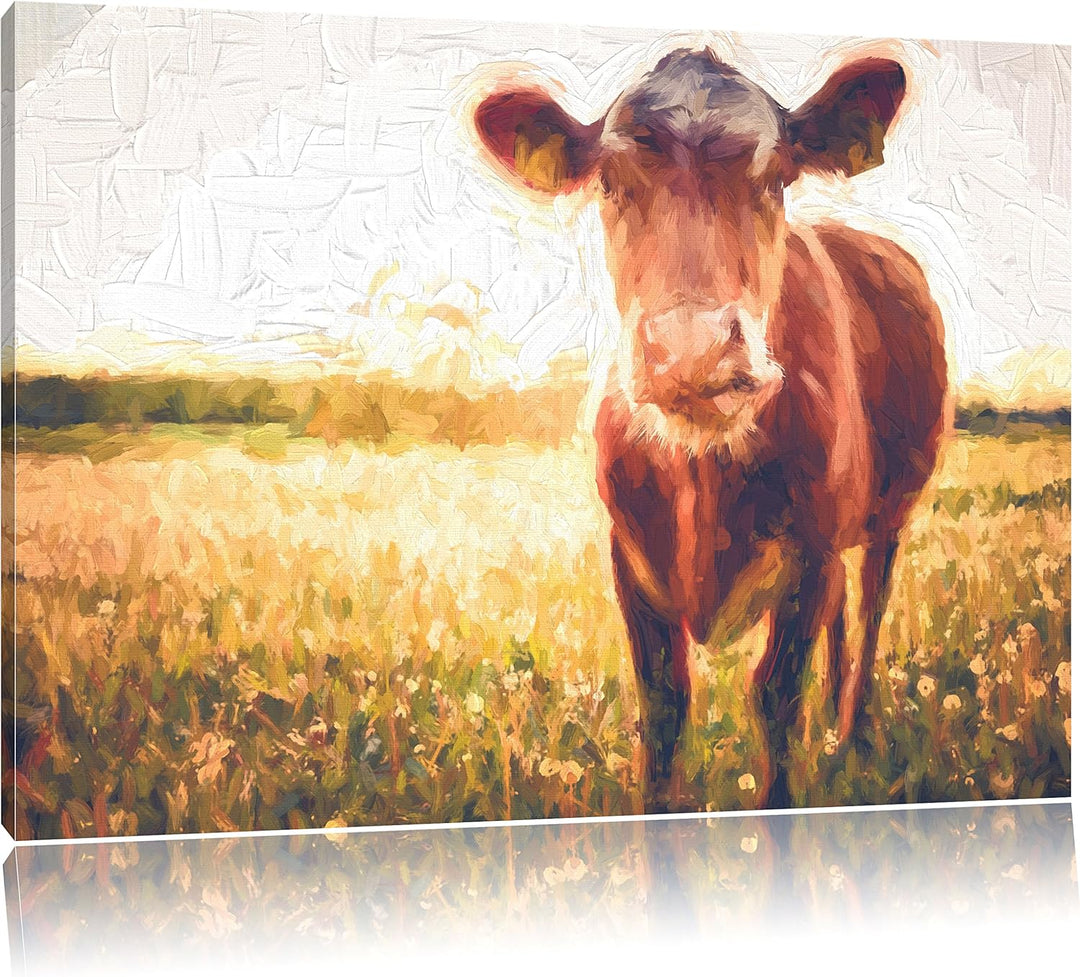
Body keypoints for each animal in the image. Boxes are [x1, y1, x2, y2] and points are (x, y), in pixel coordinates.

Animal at [472, 46, 949, 812]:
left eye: (776, 177)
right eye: (610, 183)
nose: (691, 350)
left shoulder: (811, 554)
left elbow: (777, 700)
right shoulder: (630, 558)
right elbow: (665, 707)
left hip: (891, 511)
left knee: (871, 607)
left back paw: (851, 734)